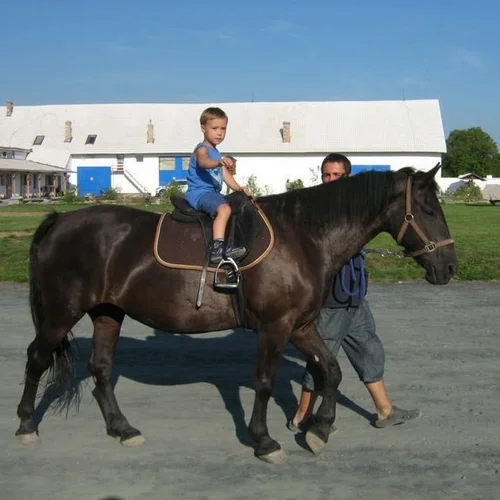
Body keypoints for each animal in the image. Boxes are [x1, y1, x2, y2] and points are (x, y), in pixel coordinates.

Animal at [14, 166, 458, 462]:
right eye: (427, 209)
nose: (450, 267)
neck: (302, 236)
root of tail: (60, 221)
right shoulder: (275, 327)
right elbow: (264, 382)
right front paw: (264, 441)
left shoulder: (300, 326)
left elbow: (331, 371)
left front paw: (319, 430)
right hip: (62, 312)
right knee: (36, 359)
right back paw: (26, 426)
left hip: (108, 313)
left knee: (101, 368)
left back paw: (122, 430)